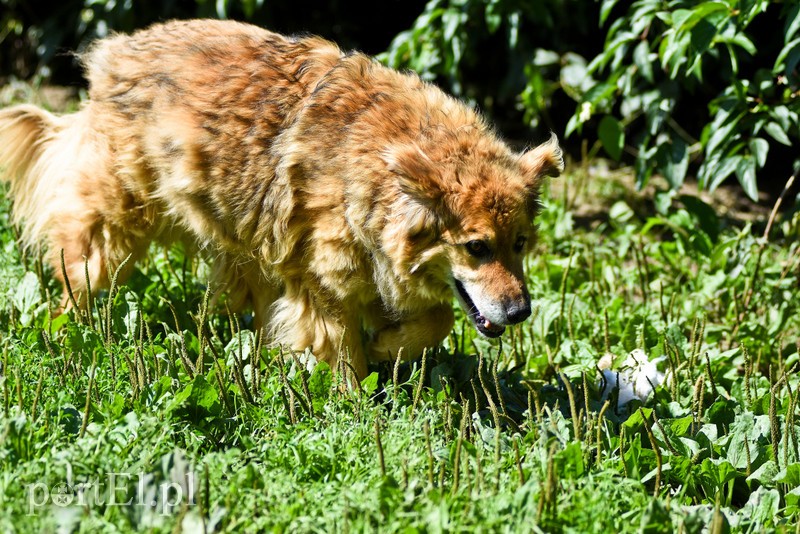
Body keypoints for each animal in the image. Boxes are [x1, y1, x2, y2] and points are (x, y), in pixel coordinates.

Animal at [0, 21, 564, 382]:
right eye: (476, 248)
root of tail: (114, 52)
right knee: (74, 281)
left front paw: (389, 347)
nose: (521, 312)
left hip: (242, 241)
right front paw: (357, 408)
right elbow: (347, 360)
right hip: (110, 231)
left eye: (520, 244)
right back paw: (69, 337)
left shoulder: (378, 275)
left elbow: (438, 319)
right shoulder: (326, 285)